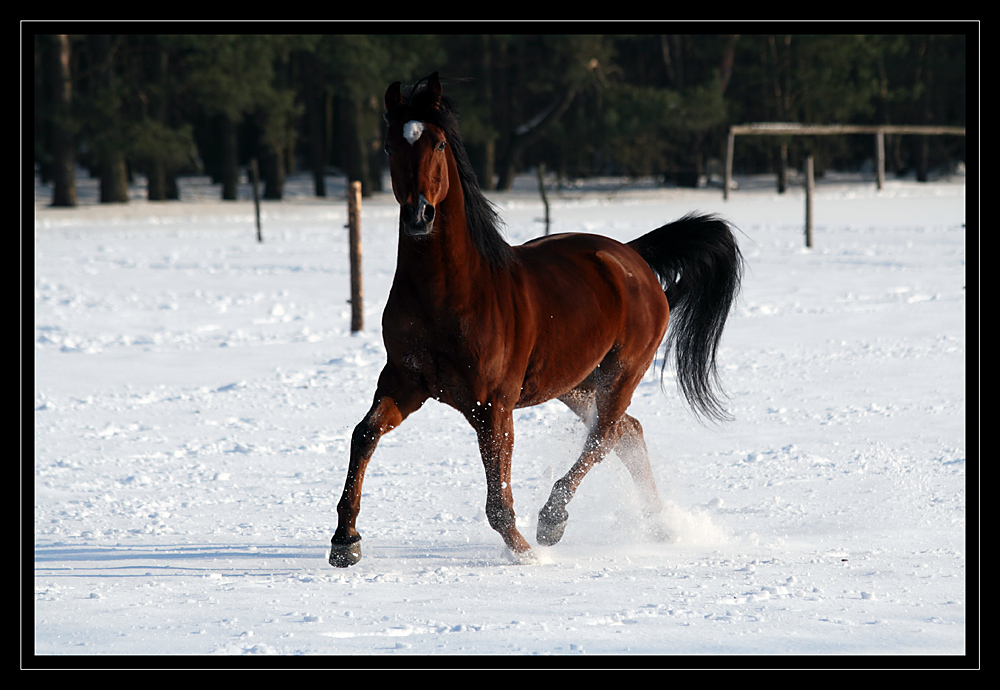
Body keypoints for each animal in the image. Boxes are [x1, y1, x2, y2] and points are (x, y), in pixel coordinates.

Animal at [328, 72, 744, 564]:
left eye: (438, 143)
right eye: (391, 145)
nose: (418, 215)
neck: (450, 294)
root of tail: (634, 257)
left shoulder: (492, 404)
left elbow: (498, 491)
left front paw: (524, 552)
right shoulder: (405, 382)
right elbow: (364, 435)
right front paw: (345, 540)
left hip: (621, 373)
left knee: (603, 437)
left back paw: (553, 520)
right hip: (575, 382)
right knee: (628, 433)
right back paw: (659, 526)